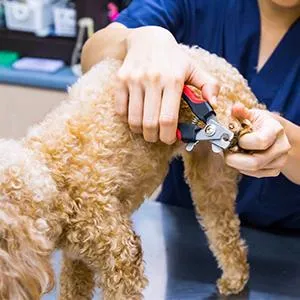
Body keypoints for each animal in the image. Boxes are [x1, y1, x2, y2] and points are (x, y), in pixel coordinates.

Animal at [0, 45, 264, 298]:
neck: (54, 173)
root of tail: (221, 65)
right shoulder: (77, 257)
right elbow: (74, 287)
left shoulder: (120, 254)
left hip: (212, 176)